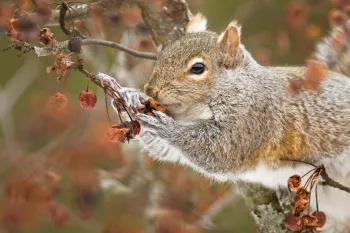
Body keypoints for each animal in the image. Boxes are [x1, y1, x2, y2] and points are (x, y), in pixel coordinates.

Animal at [117, 14, 350, 231]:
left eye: (198, 68)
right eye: (161, 57)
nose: (150, 90)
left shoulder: (254, 116)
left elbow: (224, 150)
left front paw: (163, 125)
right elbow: (166, 150)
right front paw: (129, 96)